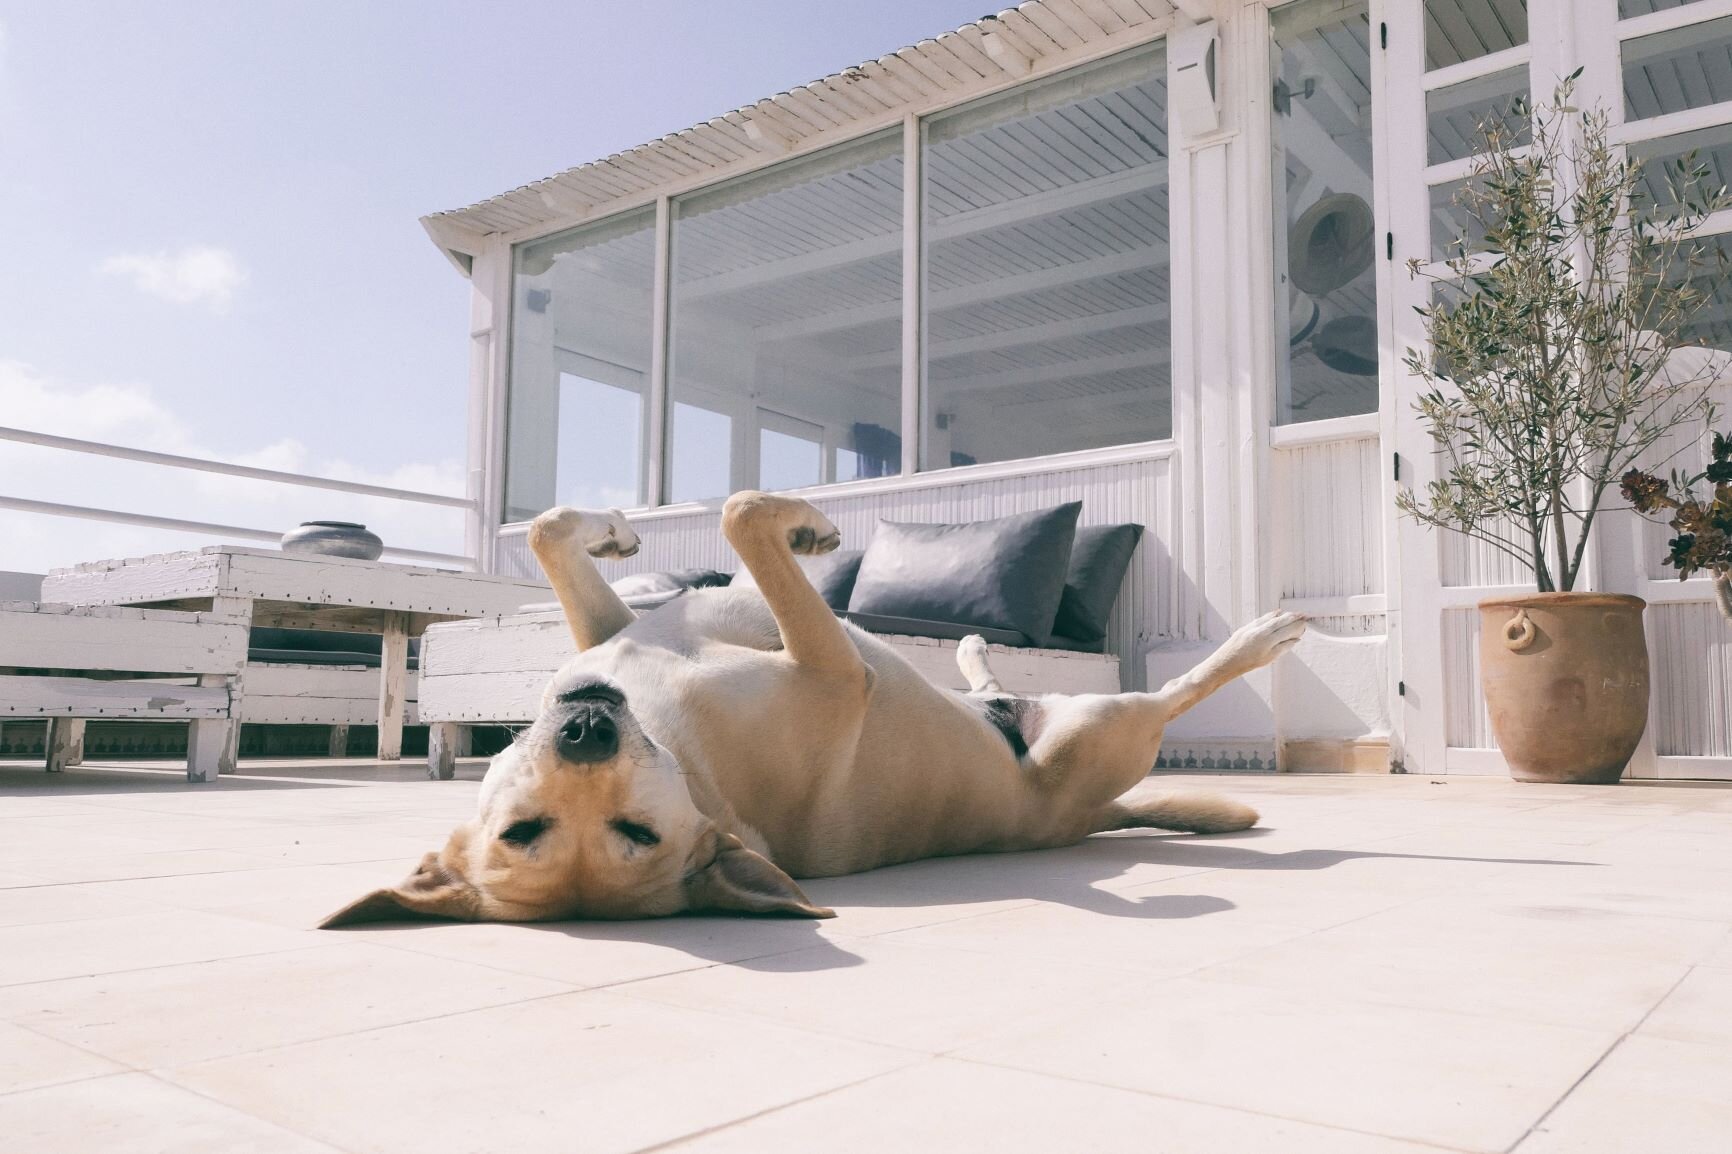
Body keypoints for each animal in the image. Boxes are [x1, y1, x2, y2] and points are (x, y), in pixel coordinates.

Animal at [322, 488, 1302, 921]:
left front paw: (609, 528)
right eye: (530, 832)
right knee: (1175, 692)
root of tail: (1085, 820)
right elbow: (739, 517)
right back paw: (1261, 639)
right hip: (1107, 731)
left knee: (999, 692)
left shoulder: (614, 629)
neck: (683, 751)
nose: (586, 730)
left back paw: (975, 653)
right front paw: (808, 525)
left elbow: (551, 536)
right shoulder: (837, 669)